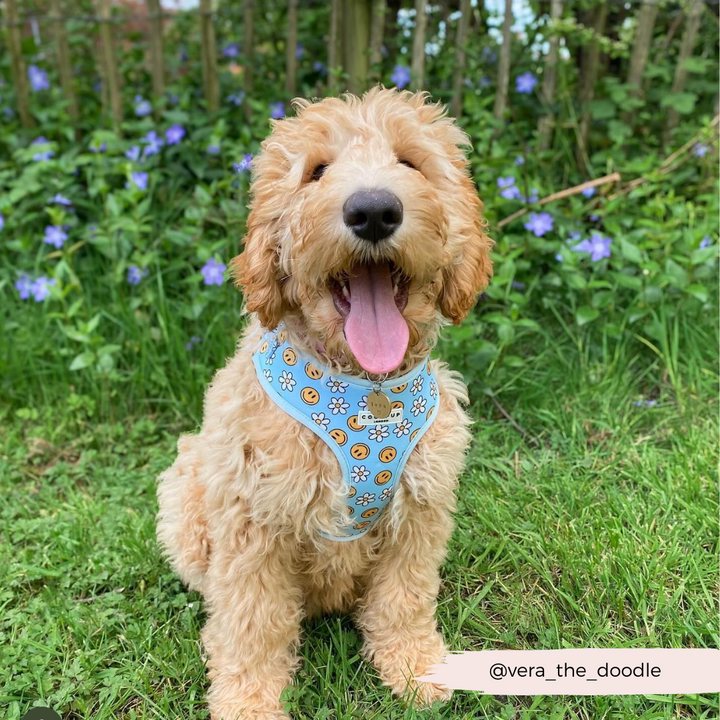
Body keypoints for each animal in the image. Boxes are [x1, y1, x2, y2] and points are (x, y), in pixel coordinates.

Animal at [156, 87, 496, 716]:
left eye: (410, 162)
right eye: (316, 171)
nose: (373, 211)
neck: (367, 387)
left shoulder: (420, 510)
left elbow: (405, 598)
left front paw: (414, 667)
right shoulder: (253, 523)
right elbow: (253, 622)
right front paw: (247, 701)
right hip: (185, 496)